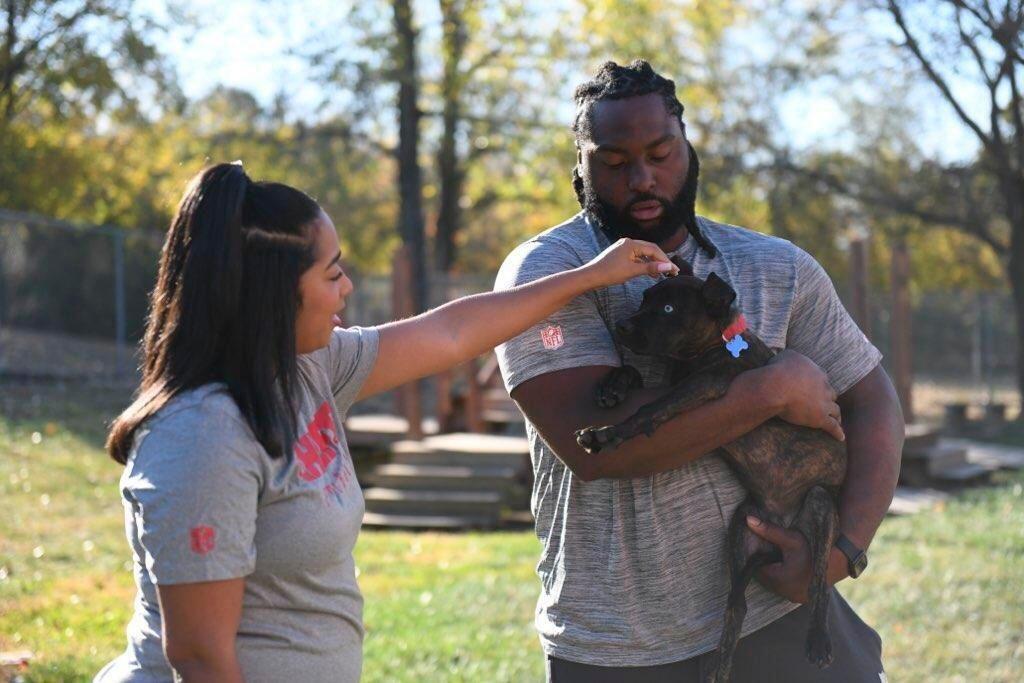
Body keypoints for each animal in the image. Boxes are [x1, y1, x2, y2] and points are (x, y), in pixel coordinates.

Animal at [577, 258, 847, 683]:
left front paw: (607, 434)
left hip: (820, 506)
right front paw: (612, 385)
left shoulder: (704, 385)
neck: (714, 345)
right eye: (644, 298)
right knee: (737, 605)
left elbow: (649, 409)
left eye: (668, 309)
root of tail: (784, 525)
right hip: (741, 530)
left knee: (817, 582)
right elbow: (636, 377)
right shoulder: (675, 378)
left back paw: (818, 642)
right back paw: (719, 666)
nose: (621, 326)